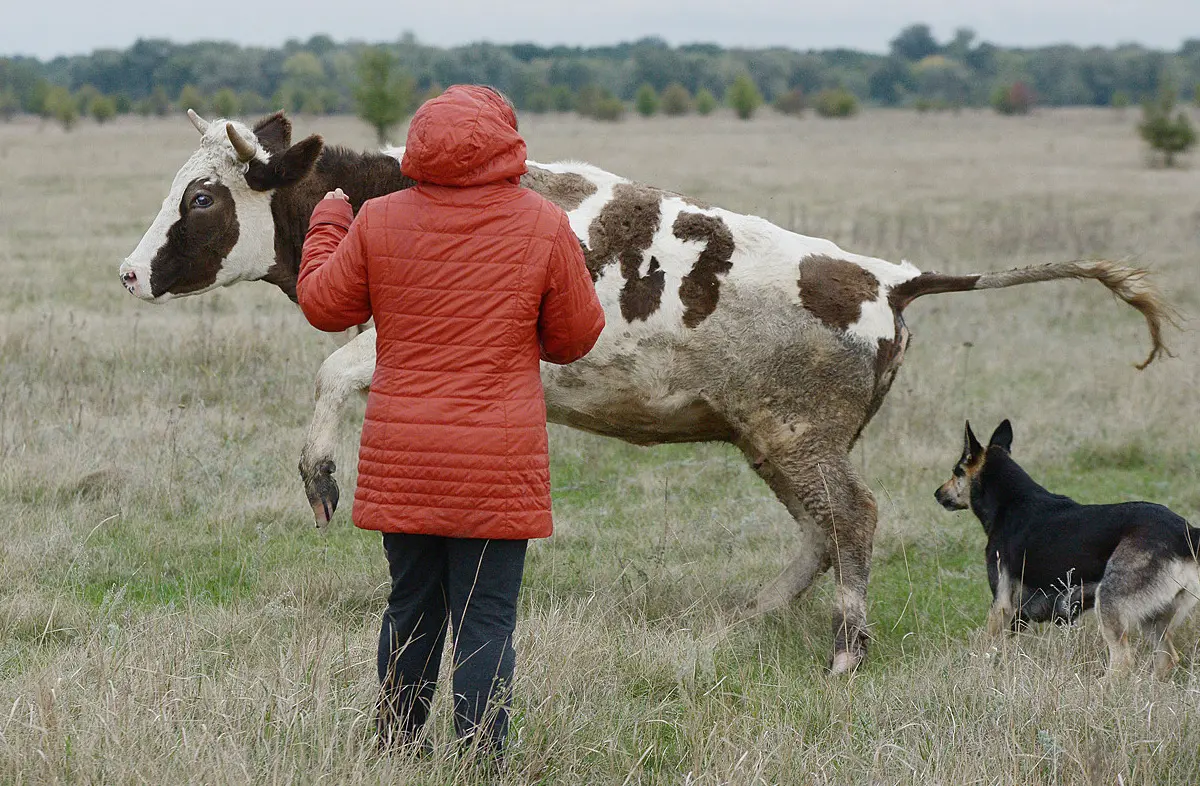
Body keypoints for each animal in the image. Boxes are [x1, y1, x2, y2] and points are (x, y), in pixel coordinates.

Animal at [119, 112, 1171, 676]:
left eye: (203, 198)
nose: (129, 272)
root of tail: (888, 278)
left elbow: (335, 371)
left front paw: (321, 475)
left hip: (795, 437)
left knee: (854, 522)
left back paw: (845, 649)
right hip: (773, 440)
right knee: (820, 531)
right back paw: (750, 620)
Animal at [936, 422, 1200, 681]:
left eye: (956, 471)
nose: (937, 493)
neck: (1010, 501)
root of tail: (1185, 532)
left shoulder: (1002, 603)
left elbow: (984, 647)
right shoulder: (1019, 615)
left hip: (1110, 602)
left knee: (1122, 662)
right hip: (1154, 618)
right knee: (1167, 658)